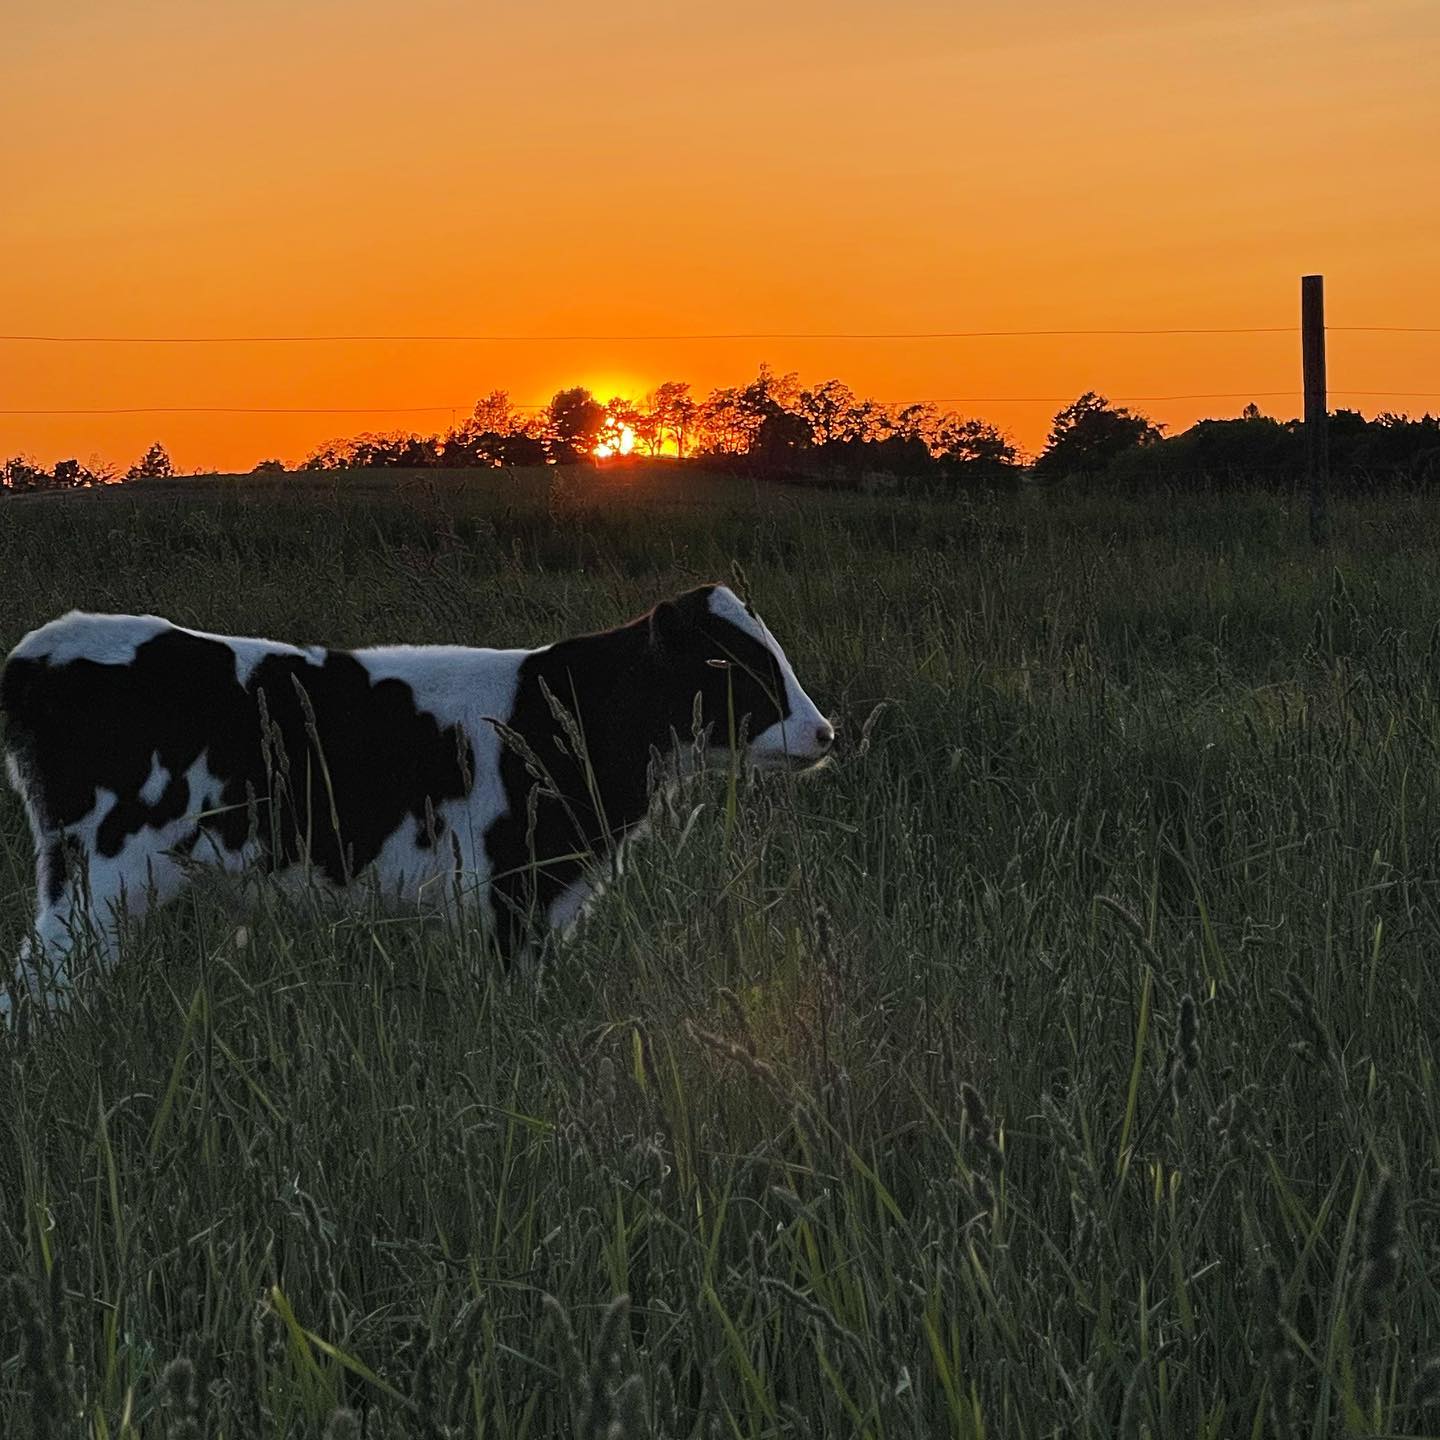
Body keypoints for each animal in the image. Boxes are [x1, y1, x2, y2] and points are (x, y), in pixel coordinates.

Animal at [0, 583, 834, 1021]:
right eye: (732, 666)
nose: (824, 731)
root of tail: (47, 645)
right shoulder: (510, 895)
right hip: (98, 875)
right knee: (36, 985)